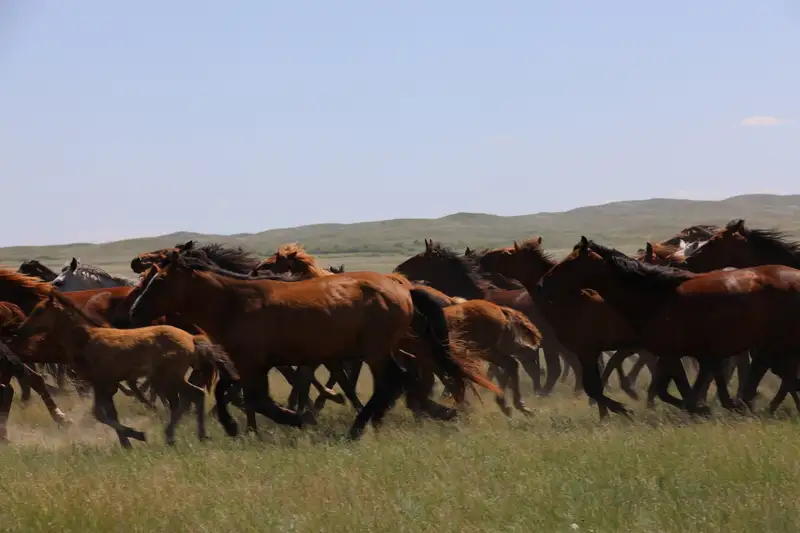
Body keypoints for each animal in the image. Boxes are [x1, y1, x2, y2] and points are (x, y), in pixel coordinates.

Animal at [17, 290, 239, 448]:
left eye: (39, 311)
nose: (21, 330)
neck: (86, 340)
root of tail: (192, 339)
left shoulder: (101, 383)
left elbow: (99, 414)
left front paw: (137, 435)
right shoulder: (107, 385)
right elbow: (107, 413)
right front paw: (127, 442)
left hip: (169, 376)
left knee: (193, 394)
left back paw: (178, 435)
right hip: (169, 378)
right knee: (193, 395)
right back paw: (193, 435)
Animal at [129, 249, 500, 440]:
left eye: (158, 280)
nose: (134, 312)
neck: (236, 302)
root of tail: (403, 286)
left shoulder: (254, 363)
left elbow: (258, 400)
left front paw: (299, 420)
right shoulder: (247, 363)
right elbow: (228, 391)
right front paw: (234, 426)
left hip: (377, 351)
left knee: (393, 381)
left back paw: (358, 428)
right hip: (389, 348)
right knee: (403, 380)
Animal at [536, 237, 800, 416]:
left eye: (569, 263)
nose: (541, 285)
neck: (654, 296)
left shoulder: (672, 353)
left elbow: (677, 390)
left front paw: (702, 408)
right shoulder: (666, 353)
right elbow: (667, 390)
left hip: (774, 343)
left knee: (773, 373)